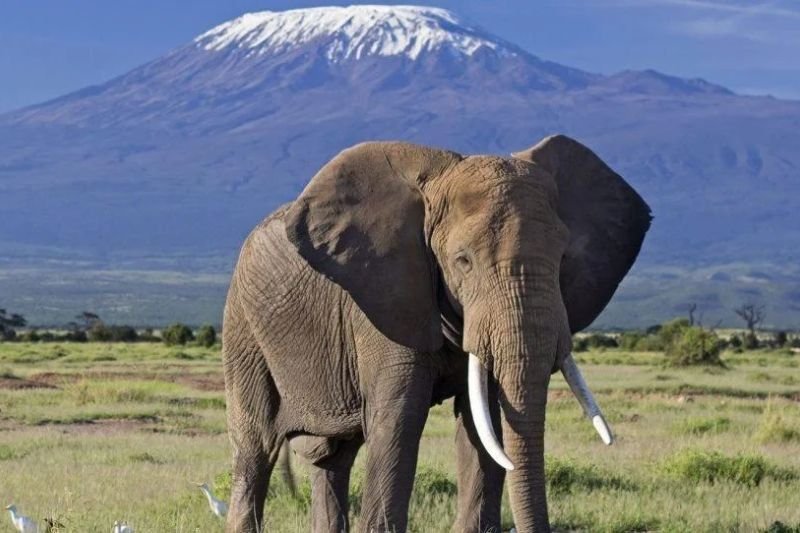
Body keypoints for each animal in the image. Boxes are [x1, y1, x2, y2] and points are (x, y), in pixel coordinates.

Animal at [219, 133, 648, 528]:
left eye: (562, 258)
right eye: (463, 261)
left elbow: (482, 422)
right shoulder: (385, 301)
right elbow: (399, 421)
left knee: (334, 459)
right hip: (242, 327)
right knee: (255, 448)